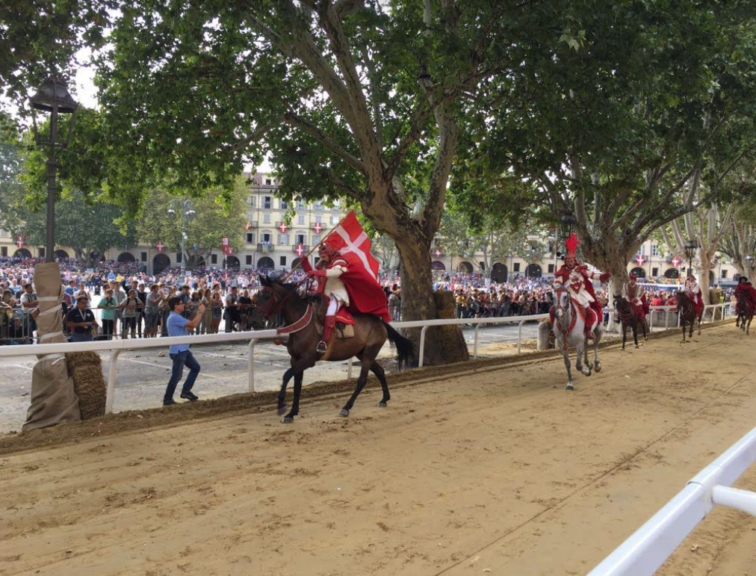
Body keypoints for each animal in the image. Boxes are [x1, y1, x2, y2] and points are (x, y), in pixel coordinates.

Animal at [255, 274, 414, 424]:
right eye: (258, 294)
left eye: (267, 295)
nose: (258, 318)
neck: (302, 325)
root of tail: (380, 322)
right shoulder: (295, 359)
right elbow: (297, 386)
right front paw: (292, 413)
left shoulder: (308, 360)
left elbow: (286, 375)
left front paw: (281, 405)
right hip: (362, 353)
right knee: (380, 371)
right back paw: (384, 399)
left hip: (370, 352)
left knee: (362, 379)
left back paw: (346, 407)